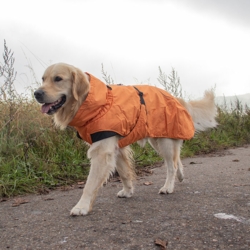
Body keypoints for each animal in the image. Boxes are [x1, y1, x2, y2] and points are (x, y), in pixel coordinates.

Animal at [34, 62, 218, 215]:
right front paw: (128, 191)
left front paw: (81, 207)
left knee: (171, 165)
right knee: (176, 158)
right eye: (43, 79)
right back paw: (180, 176)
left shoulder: (102, 151)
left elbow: (89, 184)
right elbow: (124, 173)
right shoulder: (117, 148)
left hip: (164, 141)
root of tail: (175, 98)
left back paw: (168, 187)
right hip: (157, 139)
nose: (36, 93)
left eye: (58, 79)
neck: (96, 102)